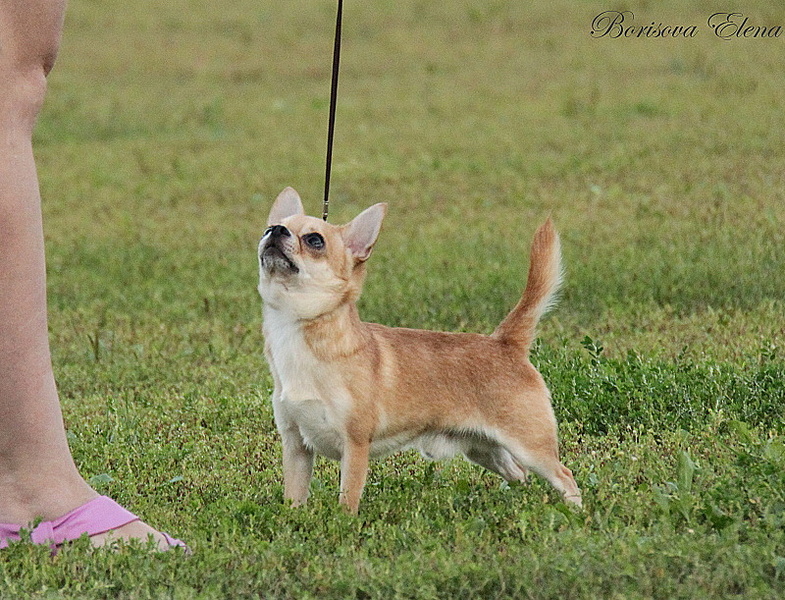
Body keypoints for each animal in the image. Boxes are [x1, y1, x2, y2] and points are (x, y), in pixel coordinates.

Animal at [258, 188, 580, 510]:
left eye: (315, 240)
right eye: (269, 228)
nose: (276, 230)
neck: (297, 327)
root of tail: (505, 342)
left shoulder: (355, 446)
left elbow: (348, 498)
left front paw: (343, 521)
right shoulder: (296, 446)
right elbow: (294, 495)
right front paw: (294, 518)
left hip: (529, 445)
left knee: (564, 476)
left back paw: (574, 511)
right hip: (485, 449)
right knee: (519, 473)